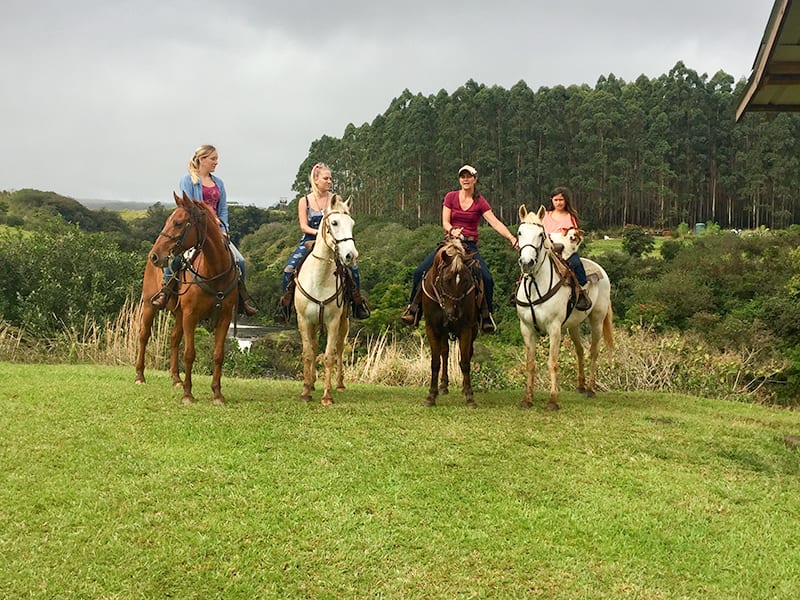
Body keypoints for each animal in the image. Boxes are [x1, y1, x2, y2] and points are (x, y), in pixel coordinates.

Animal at [134, 192, 239, 406]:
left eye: (178, 223)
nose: (155, 256)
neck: (215, 271)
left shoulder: (223, 317)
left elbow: (218, 355)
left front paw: (217, 394)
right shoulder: (191, 315)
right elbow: (189, 354)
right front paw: (188, 394)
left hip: (179, 313)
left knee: (174, 339)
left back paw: (176, 379)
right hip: (149, 305)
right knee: (143, 335)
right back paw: (140, 376)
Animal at [292, 197, 358, 408]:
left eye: (352, 224)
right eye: (334, 223)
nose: (351, 256)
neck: (319, 278)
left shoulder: (334, 322)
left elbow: (329, 356)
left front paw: (327, 396)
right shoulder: (304, 320)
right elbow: (308, 353)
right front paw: (306, 391)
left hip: (344, 322)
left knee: (339, 348)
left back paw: (340, 384)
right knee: (313, 347)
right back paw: (311, 383)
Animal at [422, 238, 478, 408]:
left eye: (466, 280)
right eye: (447, 280)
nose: (454, 314)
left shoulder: (466, 328)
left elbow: (465, 361)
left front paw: (469, 396)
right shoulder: (432, 328)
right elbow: (435, 362)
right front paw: (431, 396)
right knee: (444, 352)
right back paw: (443, 386)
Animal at [512, 204, 612, 410]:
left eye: (540, 234)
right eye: (519, 232)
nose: (527, 263)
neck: (535, 285)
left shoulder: (554, 328)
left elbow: (552, 362)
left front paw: (552, 400)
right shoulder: (526, 328)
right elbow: (530, 363)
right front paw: (527, 399)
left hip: (597, 320)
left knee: (593, 352)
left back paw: (590, 389)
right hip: (574, 325)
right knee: (580, 350)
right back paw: (581, 386)